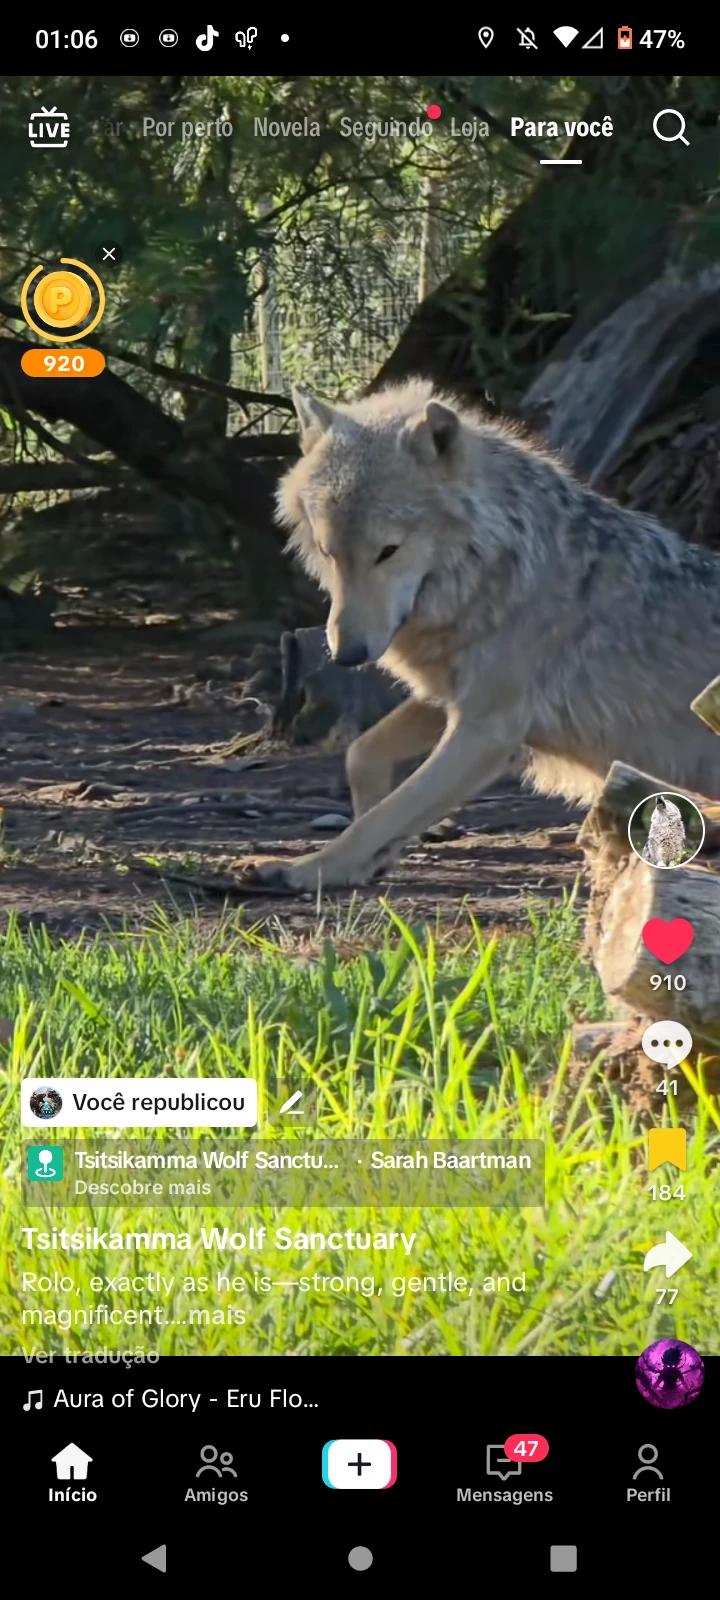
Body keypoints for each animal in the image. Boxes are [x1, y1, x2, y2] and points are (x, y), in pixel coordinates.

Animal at [247, 379, 720, 891]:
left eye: (388, 550)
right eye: (328, 551)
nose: (348, 654)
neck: (493, 570)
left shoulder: (487, 730)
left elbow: (391, 811)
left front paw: (308, 869)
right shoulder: (447, 696)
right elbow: (361, 754)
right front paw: (375, 857)